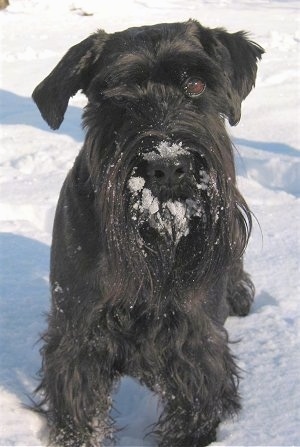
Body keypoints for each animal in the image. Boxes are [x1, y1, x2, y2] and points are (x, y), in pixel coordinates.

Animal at [32, 20, 262, 447]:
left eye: (197, 85)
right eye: (116, 95)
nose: (169, 166)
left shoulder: (195, 341)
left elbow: (194, 409)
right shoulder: (78, 334)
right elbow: (80, 413)